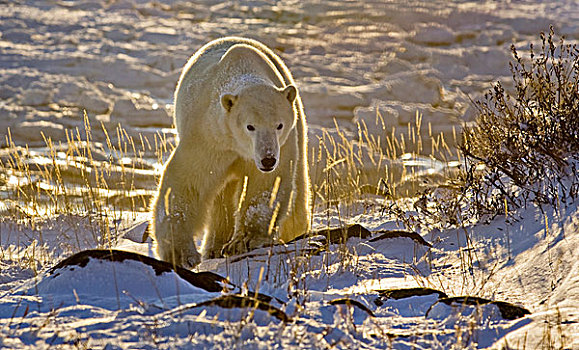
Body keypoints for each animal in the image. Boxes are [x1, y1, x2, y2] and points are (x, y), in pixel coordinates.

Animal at [152, 37, 310, 268]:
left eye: (279, 125)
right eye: (250, 126)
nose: (267, 159)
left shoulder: (282, 144)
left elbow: (266, 186)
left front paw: (245, 240)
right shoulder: (210, 137)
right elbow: (187, 182)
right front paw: (181, 254)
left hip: (297, 129)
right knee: (221, 195)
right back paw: (214, 248)